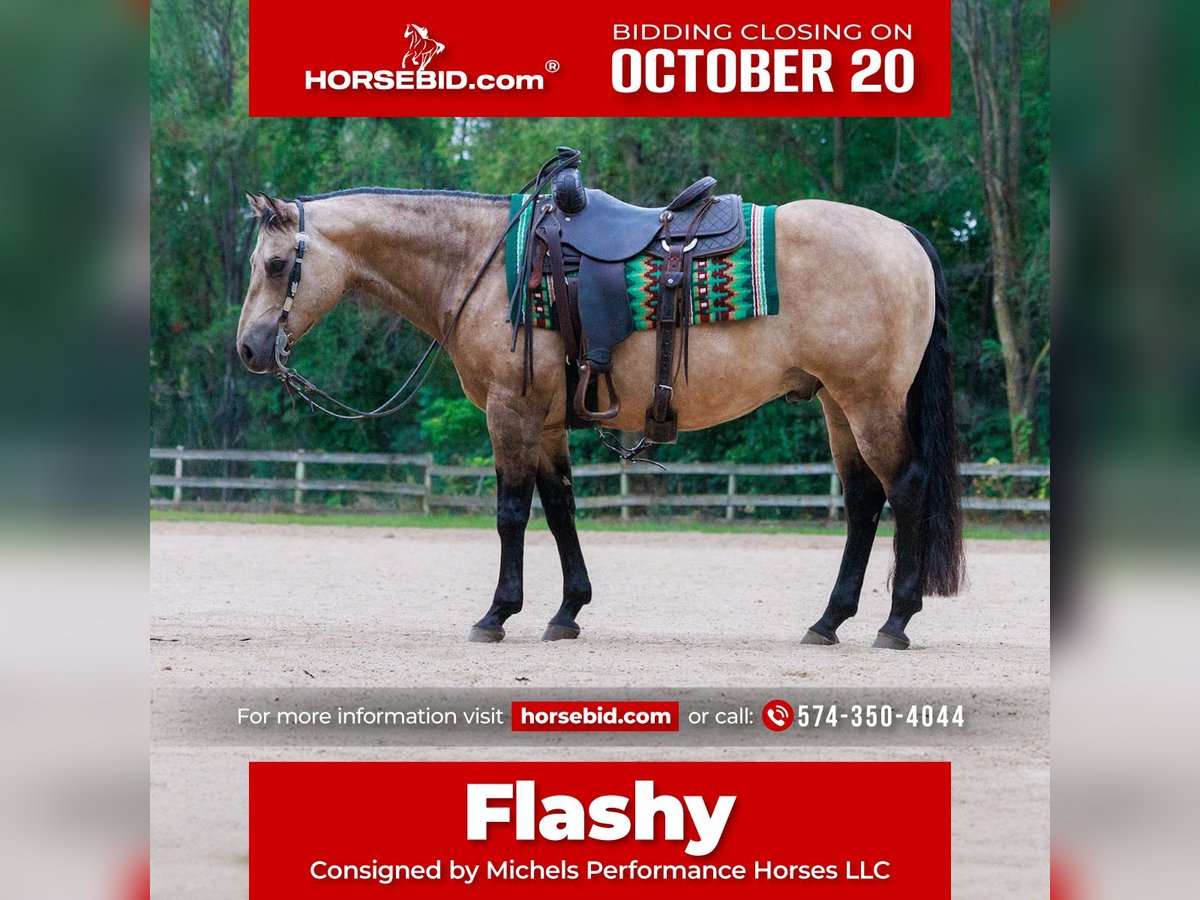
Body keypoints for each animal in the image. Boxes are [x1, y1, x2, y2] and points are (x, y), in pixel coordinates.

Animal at [236, 184, 965, 650]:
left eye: (273, 264)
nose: (248, 348)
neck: (483, 266)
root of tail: (901, 234)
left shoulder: (511, 411)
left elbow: (511, 512)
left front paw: (497, 613)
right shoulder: (547, 422)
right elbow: (560, 508)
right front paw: (567, 611)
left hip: (870, 401)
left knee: (904, 487)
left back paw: (895, 621)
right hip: (838, 405)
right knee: (864, 499)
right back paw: (829, 621)